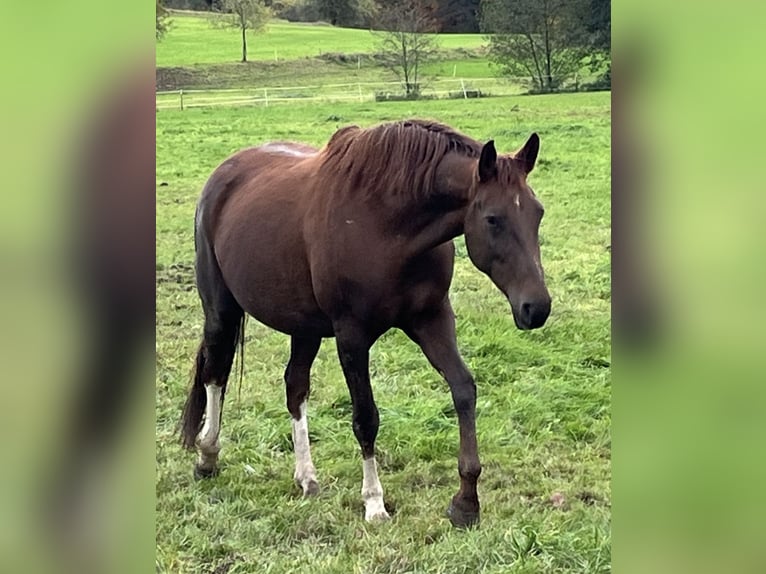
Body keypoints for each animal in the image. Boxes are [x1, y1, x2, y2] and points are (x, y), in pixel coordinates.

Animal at [180, 119, 551, 527]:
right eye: (492, 219)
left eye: (537, 213)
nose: (537, 307)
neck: (386, 224)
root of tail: (224, 173)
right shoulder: (352, 336)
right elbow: (366, 418)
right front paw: (374, 502)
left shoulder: (432, 319)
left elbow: (464, 390)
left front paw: (466, 501)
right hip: (221, 309)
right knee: (216, 372)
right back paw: (207, 456)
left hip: (304, 326)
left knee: (295, 387)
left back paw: (306, 477)